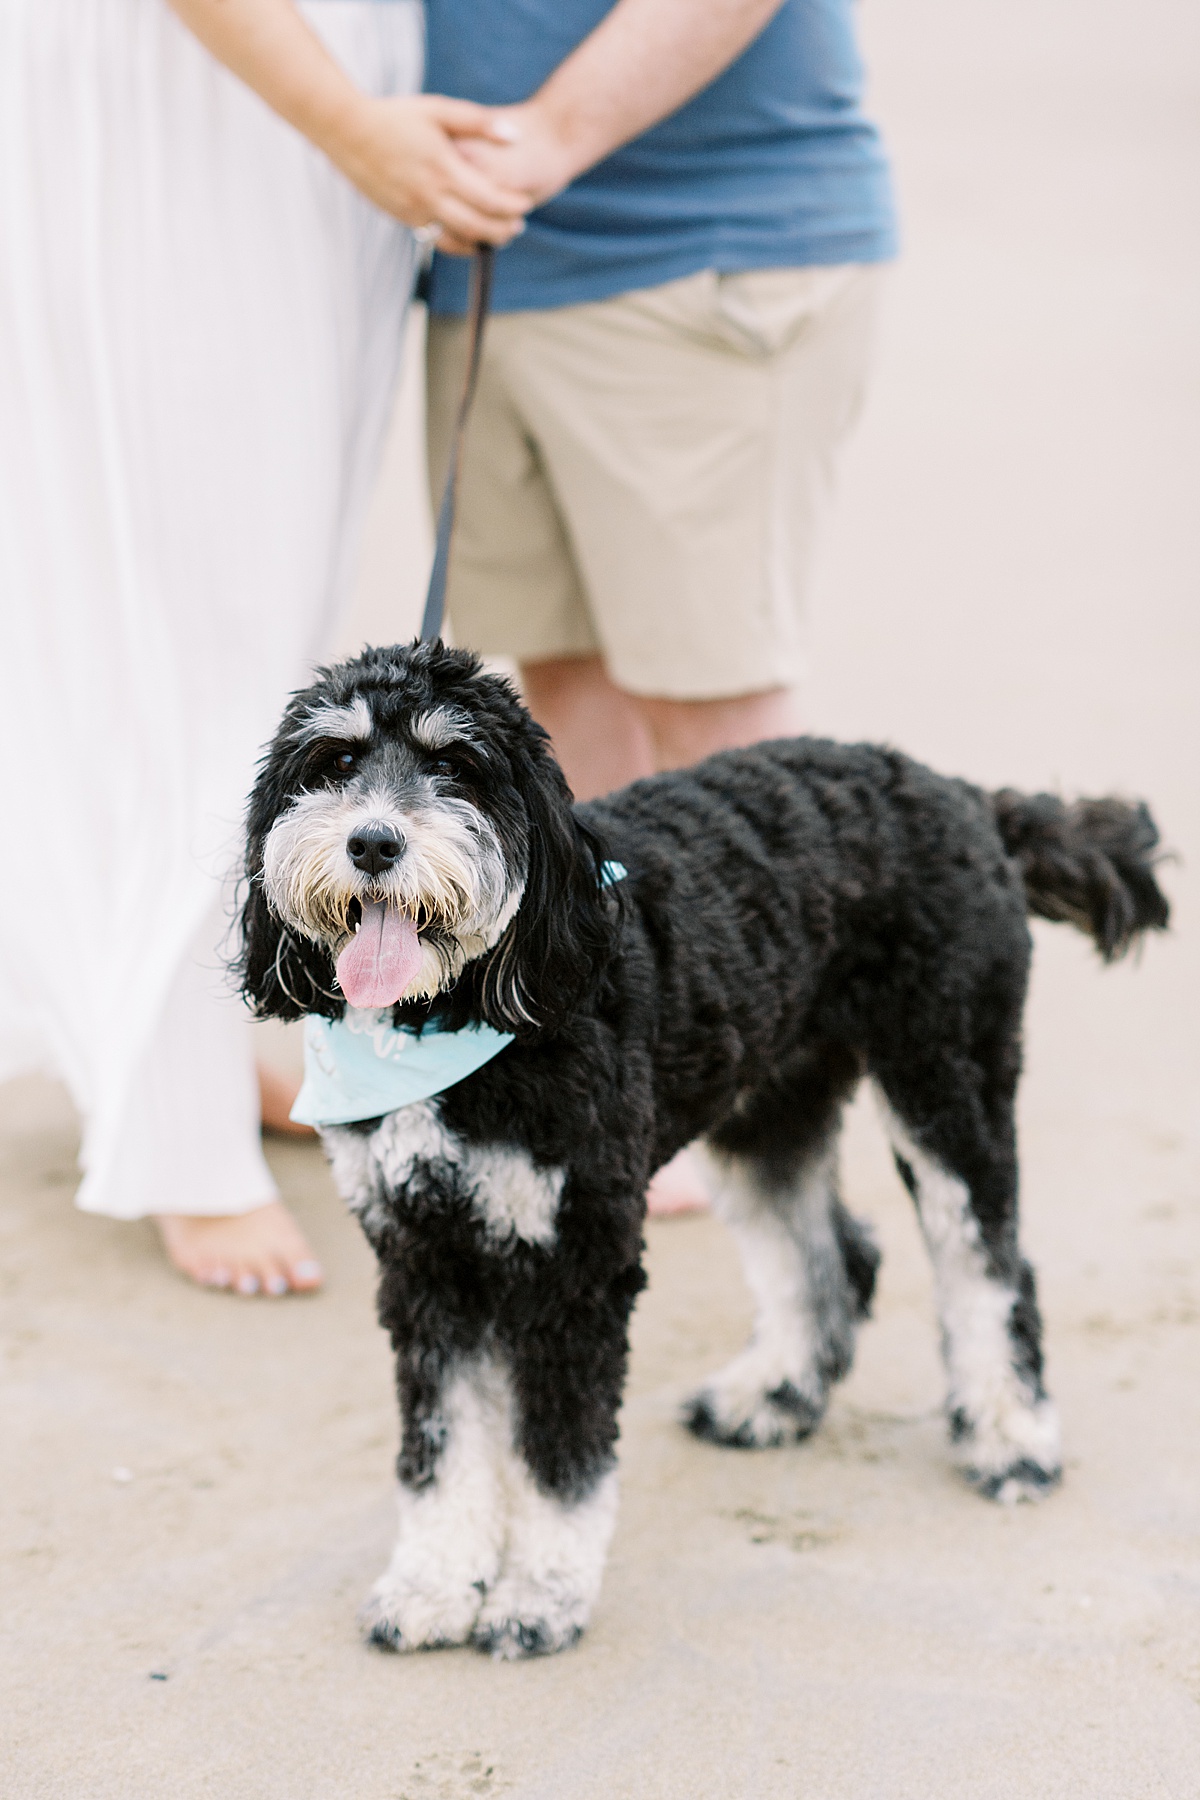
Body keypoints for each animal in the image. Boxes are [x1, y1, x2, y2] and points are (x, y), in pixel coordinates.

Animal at [239, 644, 1165, 1656]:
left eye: (457, 767)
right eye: (334, 763)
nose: (372, 844)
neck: (457, 1009)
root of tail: (961, 793)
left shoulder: (577, 1261)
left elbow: (560, 1456)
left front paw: (540, 1592)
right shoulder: (425, 1261)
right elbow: (442, 1447)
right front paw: (435, 1584)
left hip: (946, 1083)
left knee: (990, 1268)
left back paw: (1011, 1441)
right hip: (768, 1110)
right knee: (829, 1257)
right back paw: (777, 1397)